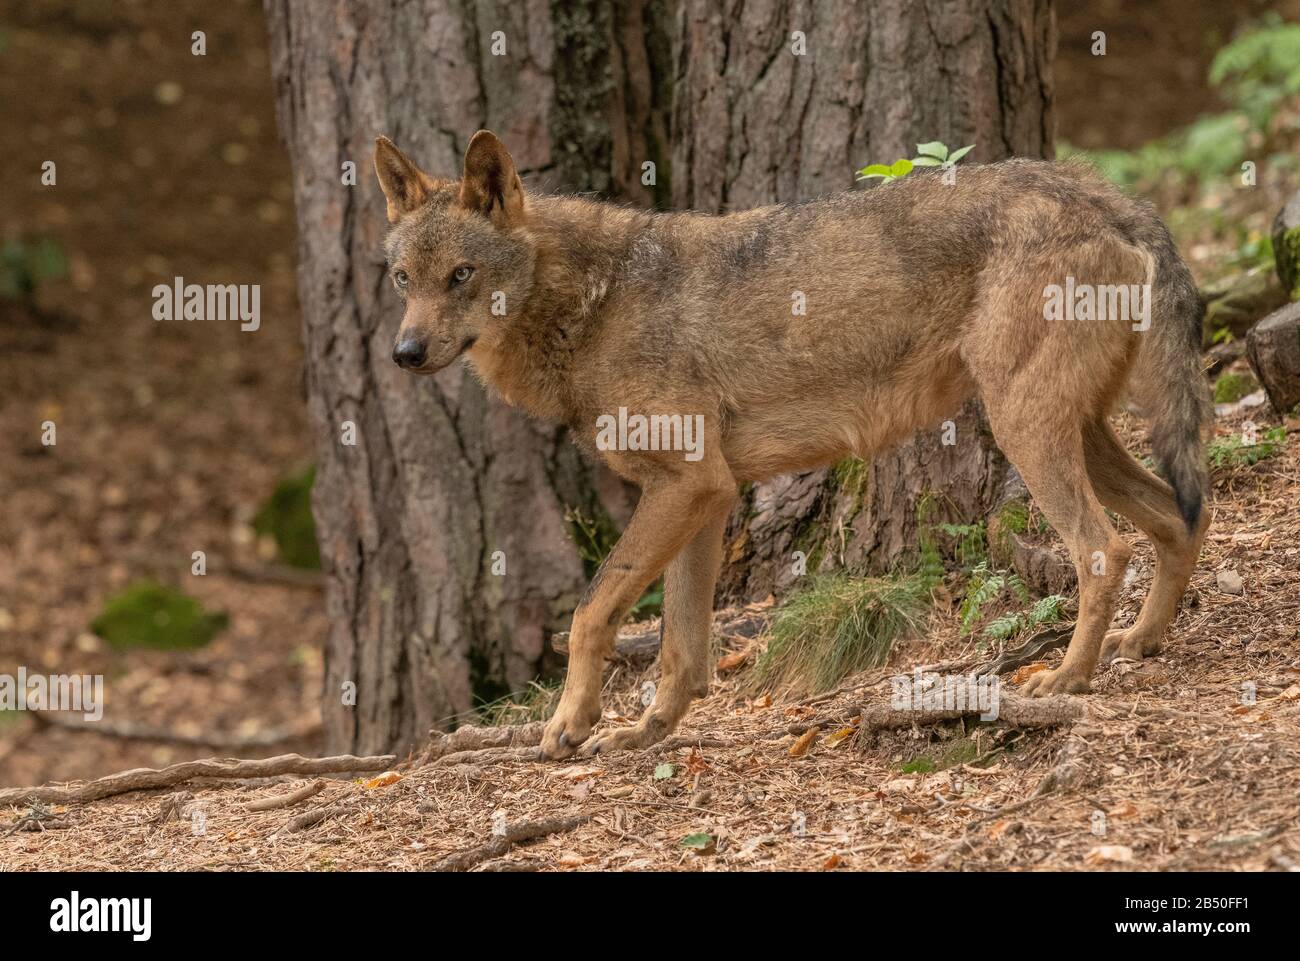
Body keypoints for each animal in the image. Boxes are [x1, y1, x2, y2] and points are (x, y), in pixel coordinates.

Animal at [374, 130, 1210, 760]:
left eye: (462, 275)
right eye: (403, 279)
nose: (404, 353)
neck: (593, 305)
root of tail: (1104, 190)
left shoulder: (685, 487)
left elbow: (590, 613)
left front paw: (568, 725)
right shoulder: (706, 497)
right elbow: (681, 646)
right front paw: (648, 730)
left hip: (1028, 431)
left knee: (1105, 548)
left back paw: (1066, 679)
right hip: (1076, 433)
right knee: (1179, 518)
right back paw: (1144, 641)